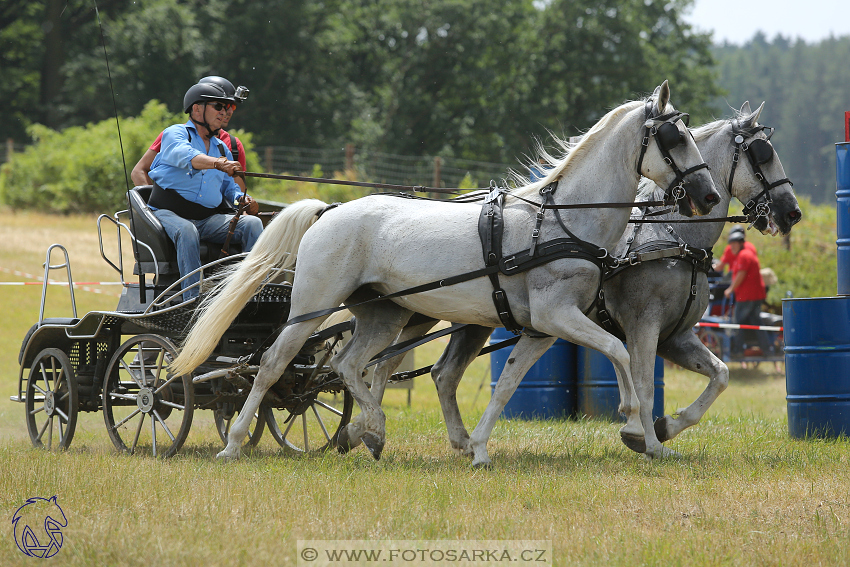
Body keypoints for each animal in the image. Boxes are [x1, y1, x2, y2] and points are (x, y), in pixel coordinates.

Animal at [171, 80, 716, 464]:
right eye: (674, 137)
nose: (708, 195)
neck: (563, 219)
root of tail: (330, 210)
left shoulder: (542, 328)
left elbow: (512, 382)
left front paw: (479, 449)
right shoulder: (558, 315)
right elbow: (621, 353)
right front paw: (633, 425)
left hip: (384, 315)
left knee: (349, 365)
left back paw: (371, 430)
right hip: (312, 308)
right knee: (273, 365)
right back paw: (235, 442)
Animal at [362, 101, 800, 462]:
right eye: (763, 155)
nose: (792, 212)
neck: (672, 236)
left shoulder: (677, 336)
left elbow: (720, 376)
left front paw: (667, 427)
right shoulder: (643, 325)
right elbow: (643, 383)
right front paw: (643, 436)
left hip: (468, 320)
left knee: (437, 373)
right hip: (418, 313)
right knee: (381, 366)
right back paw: (367, 431)